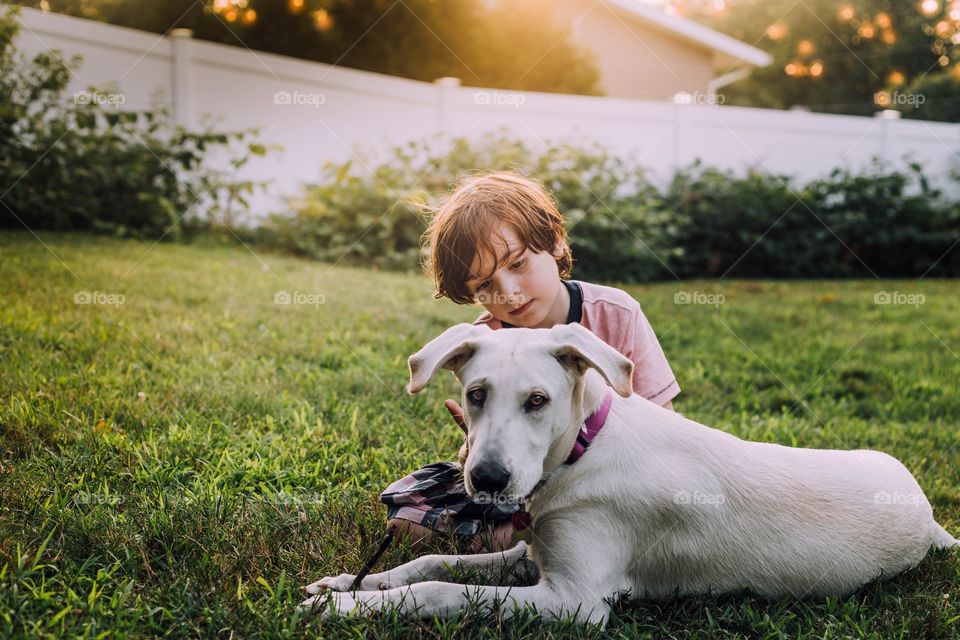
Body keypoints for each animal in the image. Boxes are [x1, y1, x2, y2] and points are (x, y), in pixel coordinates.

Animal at [298, 322, 952, 628]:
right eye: (476, 393)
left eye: (538, 401)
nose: (486, 479)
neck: (581, 453)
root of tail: (927, 512)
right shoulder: (535, 556)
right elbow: (431, 562)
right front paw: (345, 585)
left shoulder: (575, 601)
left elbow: (440, 590)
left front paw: (346, 609)